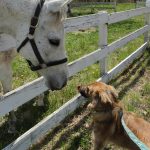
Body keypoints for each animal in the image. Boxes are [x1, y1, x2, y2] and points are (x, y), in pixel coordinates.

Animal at [0, 0, 71, 133]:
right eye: (54, 41)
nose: (63, 82)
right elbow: (7, 95)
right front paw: (11, 123)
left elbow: (8, 95)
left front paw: (12, 123)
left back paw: (40, 100)